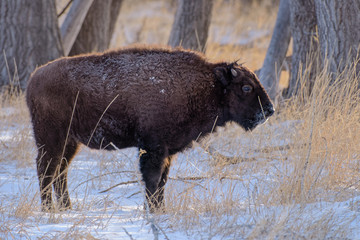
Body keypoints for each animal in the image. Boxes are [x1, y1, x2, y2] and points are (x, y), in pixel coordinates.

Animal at [26, 46, 272, 212]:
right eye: (246, 87)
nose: (269, 110)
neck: (207, 85)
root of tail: (33, 78)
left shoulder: (167, 152)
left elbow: (162, 181)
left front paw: (160, 210)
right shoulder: (153, 149)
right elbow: (153, 180)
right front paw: (153, 210)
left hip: (69, 141)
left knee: (61, 171)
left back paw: (67, 207)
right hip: (51, 138)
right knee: (47, 169)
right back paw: (49, 209)